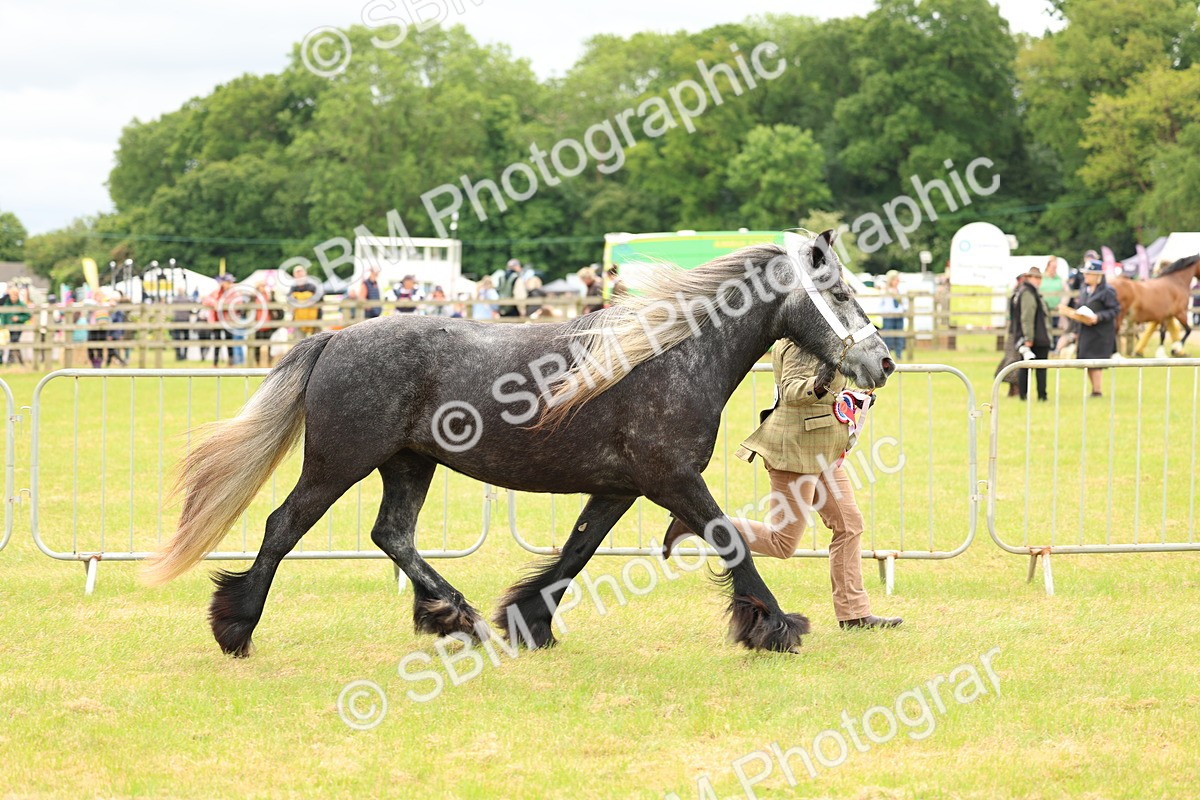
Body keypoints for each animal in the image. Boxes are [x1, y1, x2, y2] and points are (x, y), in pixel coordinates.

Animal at [142, 230, 894, 657]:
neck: (669, 354)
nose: (882, 363)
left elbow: (576, 553)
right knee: (282, 526)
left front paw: (530, 623)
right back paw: (236, 628)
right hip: (338, 464)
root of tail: (332, 338)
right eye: (838, 291)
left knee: (394, 536)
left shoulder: (619, 488)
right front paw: (777, 627)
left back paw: (459, 619)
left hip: (409, 465)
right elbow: (729, 541)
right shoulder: (673, 479)